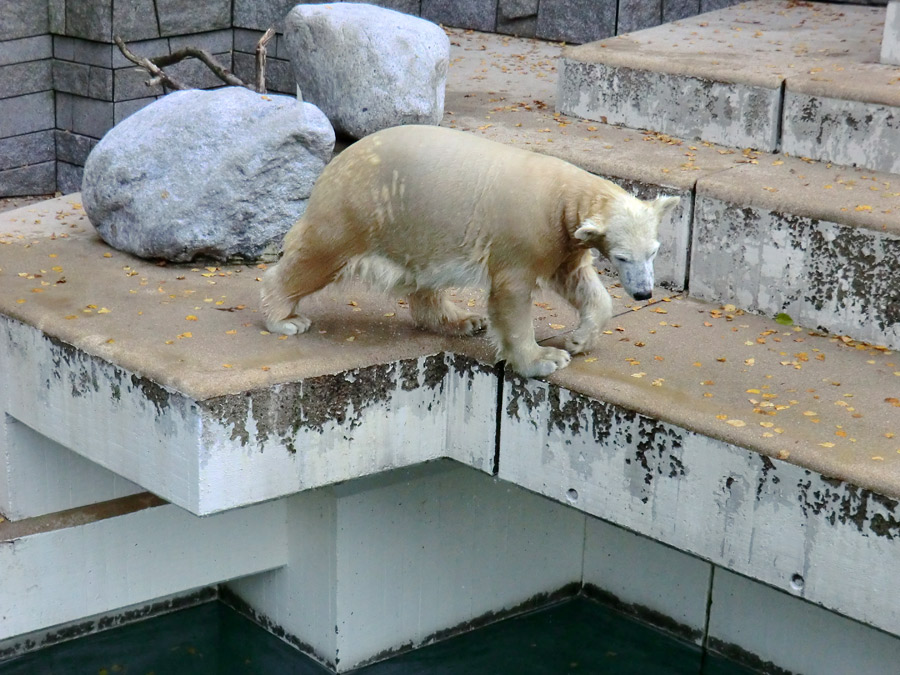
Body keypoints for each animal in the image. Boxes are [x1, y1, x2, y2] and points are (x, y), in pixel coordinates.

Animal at [264, 124, 680, 378]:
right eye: (623, 257)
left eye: (653, 251)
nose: (643, 293)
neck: (563, 195)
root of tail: (336, 161)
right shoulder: (524, 234)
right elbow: (512, 298)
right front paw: (545, 359)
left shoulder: (564, 238)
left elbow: (577, 280)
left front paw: (578, 339)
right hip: (359, 209)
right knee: (317, 256)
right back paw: (284, 317)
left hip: (413, 221)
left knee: (423, 276)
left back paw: (462, 320)